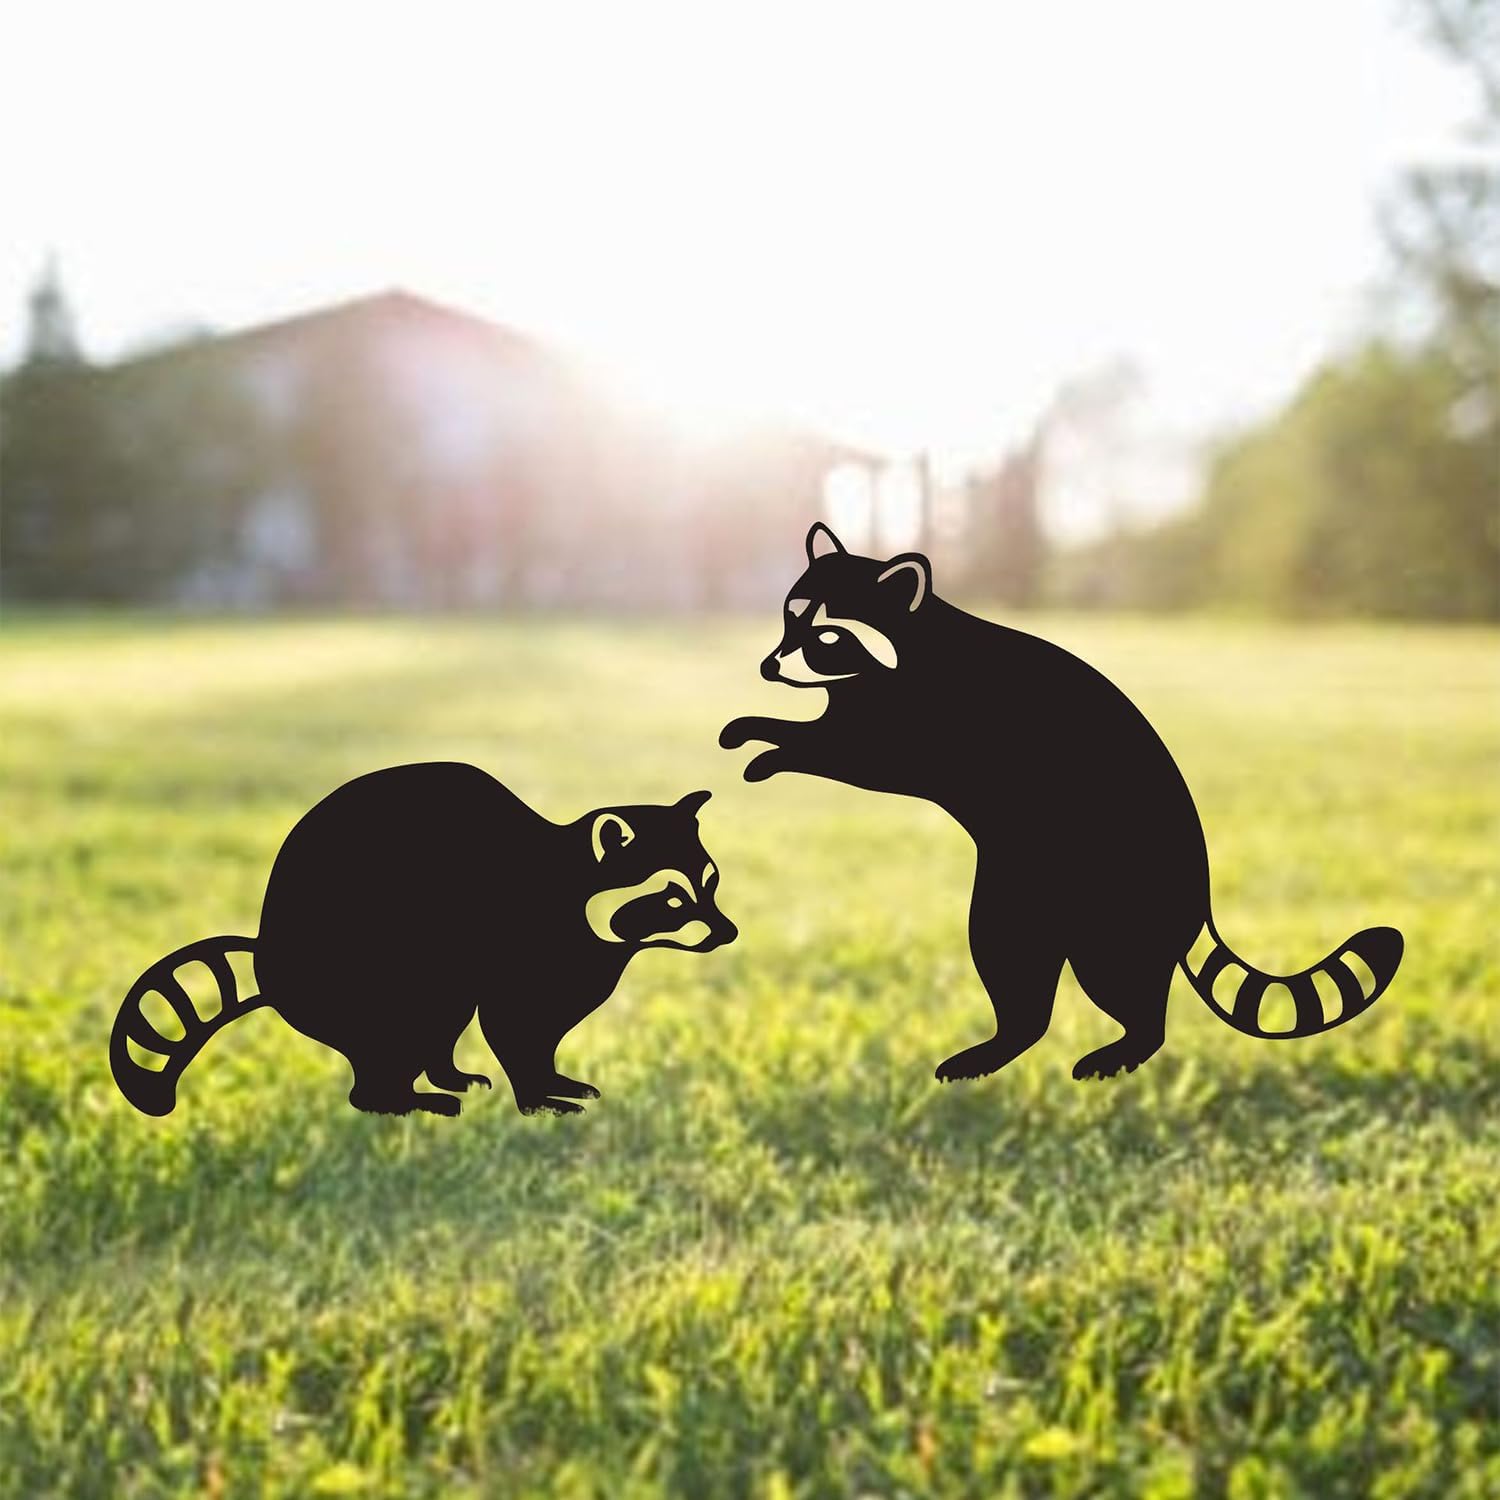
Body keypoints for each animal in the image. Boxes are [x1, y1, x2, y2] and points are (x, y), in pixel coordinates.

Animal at [110, 765, 736, 1117]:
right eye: (674, 899)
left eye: (710, 883)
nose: (727, 933)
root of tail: (267, 955)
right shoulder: (519, 947)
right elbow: (516, 1026)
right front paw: (536, 1096)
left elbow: (547, 1027)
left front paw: (550, 1076)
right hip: (372, 971)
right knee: (395, 1035)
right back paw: (401, 1098)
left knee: (441, 1022)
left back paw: (444, 1073)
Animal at [721, 523, 1402, 1083]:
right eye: (790, 615)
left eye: (828, 634)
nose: (769, 667)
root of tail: (1197, 896)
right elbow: (819, 729)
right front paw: (758, 727)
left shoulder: (923, 724)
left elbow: (851, 756)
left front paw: (776, 750)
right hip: (1019, 898)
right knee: (1017, 969)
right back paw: (1002, 1044)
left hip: (1110, 906)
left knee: (1118, 986)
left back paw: (1123, 1045)